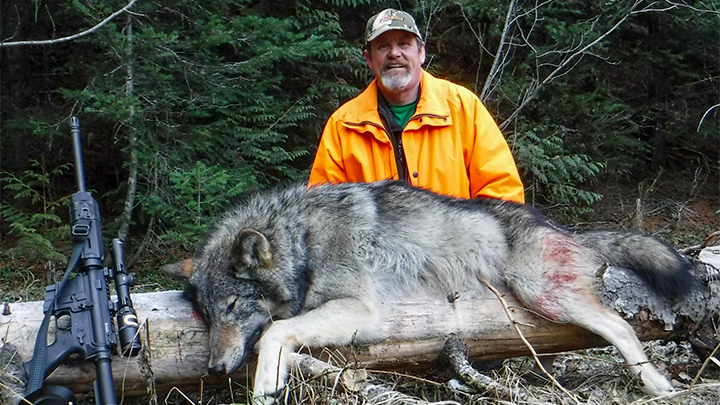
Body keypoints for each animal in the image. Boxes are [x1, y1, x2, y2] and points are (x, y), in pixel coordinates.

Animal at [163, 180, 692, 400]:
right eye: (207, 315)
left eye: (233, 305)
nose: (214, 369)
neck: (304, 239)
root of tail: (560, 226)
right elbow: (280, 336)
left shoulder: (360, 309)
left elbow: (274, 334)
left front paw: (265, 387)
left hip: (539, 291)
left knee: (620, 325)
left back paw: (657, 385)